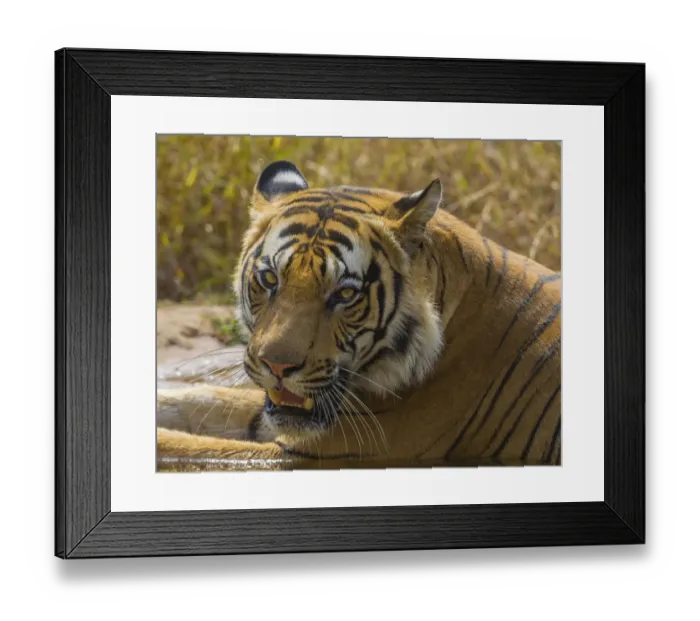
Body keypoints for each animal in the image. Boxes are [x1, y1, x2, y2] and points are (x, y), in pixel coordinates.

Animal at [156, 160, 562, 470]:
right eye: (270, 279)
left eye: (345, 294)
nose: (277, 367)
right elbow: (206, 400)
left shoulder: (322, 450)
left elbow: (187, 448)